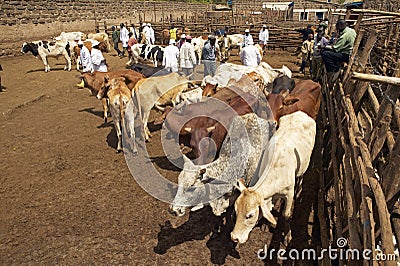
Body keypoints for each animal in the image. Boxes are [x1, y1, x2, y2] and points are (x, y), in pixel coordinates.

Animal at [231, 111, 316, 244]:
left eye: (250, 215)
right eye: (236, 210)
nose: (234, 237)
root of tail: (301, 114)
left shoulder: (289, 193)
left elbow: (286, 215)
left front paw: (287, 236)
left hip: (304, 165)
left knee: (301, 176)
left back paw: (299, 189)